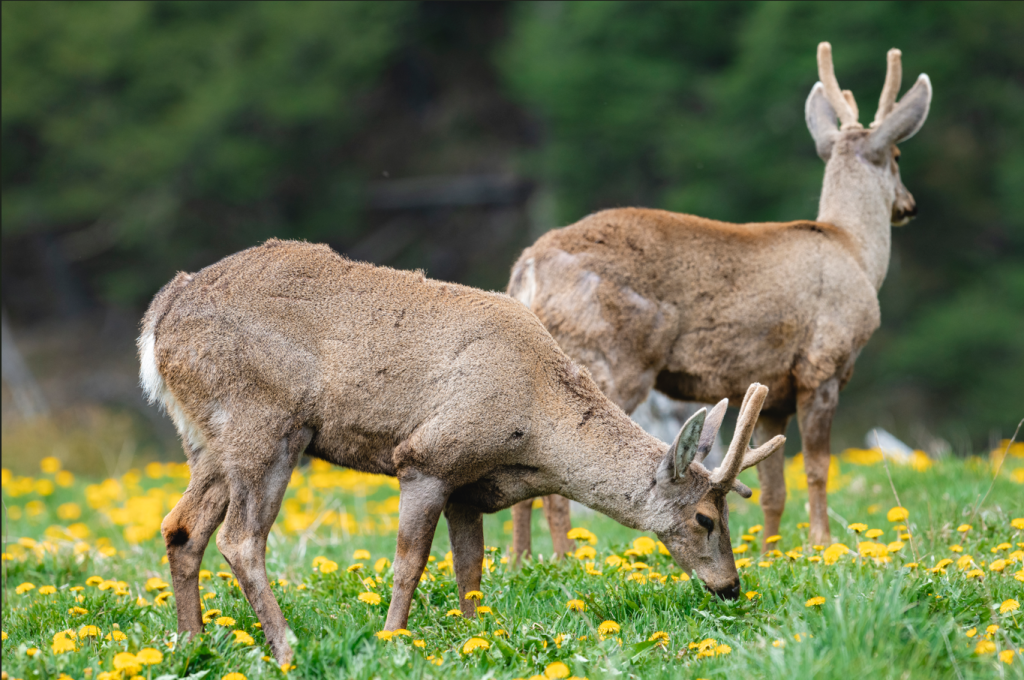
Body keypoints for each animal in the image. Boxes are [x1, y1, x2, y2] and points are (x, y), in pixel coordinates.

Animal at [138, 238, 782, 663]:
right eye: (705, 518)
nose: (731, 586)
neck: (533, 422)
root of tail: (158, 319)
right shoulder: (426, 457)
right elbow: (409, 563)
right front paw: (394, 639)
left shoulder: (469, 489)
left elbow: (470, 571)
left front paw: (479, 638)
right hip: (264, 422)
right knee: (240, 540)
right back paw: (287, 645)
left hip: (206, 439)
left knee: (181, 527)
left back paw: (191, 644)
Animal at [507, 42, 933, 548]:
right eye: (898, 155)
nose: (909, 205)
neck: (854, 249)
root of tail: (528, 266)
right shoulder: (822, 364)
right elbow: (817, 468)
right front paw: (822, 543)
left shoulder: (773, 391)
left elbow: (774, 489)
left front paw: (772, 552)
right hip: (606, 356)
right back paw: (563, 556)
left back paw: (522, 559)